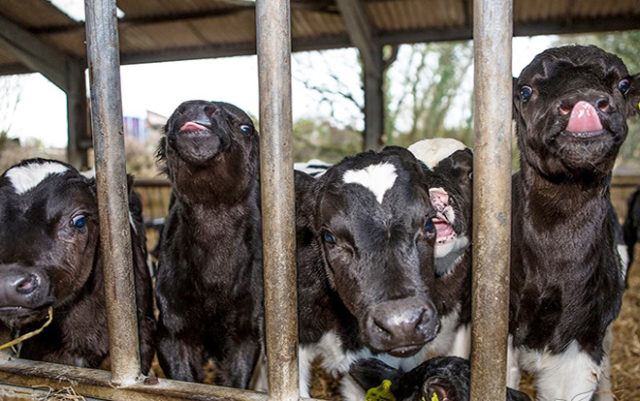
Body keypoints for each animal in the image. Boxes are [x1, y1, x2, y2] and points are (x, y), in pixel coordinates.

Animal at [154, 99, 262, 388]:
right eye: (167, 126)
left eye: (246, 127)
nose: (194, 106)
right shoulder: (171, 324)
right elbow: (182, 378)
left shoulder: (247, 326)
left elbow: (237, 381)